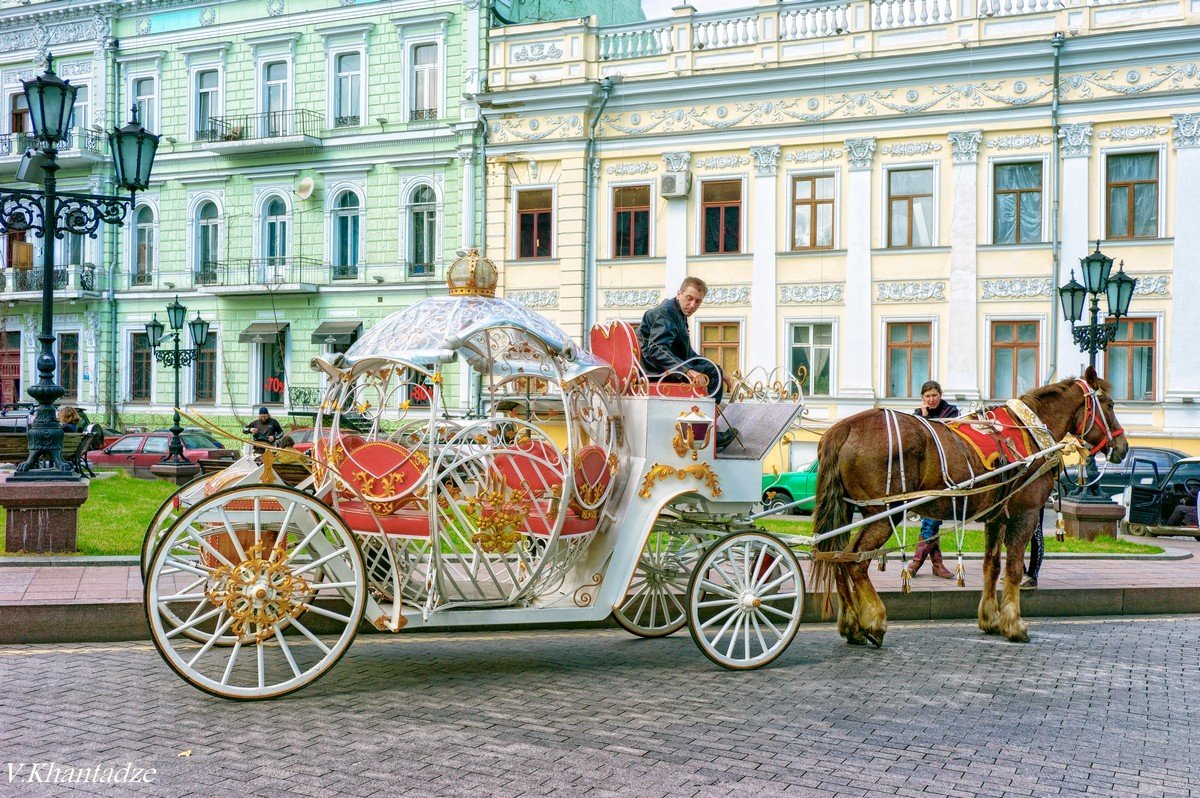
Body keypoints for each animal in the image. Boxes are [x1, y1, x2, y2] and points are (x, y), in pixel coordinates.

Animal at [811, 369, 1128, 643]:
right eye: (1110, 404)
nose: (1123, 446)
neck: (1028, 432)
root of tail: (844, 427)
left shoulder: (996, 517)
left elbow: (992, 565)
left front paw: (990, 618)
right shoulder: (1023, 515)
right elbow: (1014, 568)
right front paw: (1014, 624)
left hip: (853, 512)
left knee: (837, 558)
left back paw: (851, 624)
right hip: (883, 513)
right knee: (854, 561)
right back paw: (874, 620)